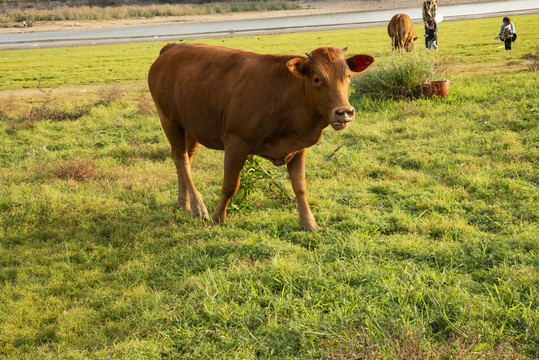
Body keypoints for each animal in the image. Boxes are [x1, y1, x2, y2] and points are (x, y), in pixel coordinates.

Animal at [148, 43, 376, 231]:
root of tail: (172, 47)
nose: (344, 112)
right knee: (181, 159)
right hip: (169, 121)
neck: (285, 96)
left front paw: (309, 223)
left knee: (184, 159)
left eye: (348, 76)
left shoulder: (298, 146)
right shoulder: (235, 143)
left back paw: (184, 203)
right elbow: (230, 186)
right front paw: (216, 218)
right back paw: (198, 206)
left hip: (191, 128)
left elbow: (300, 187)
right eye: (317, 79)